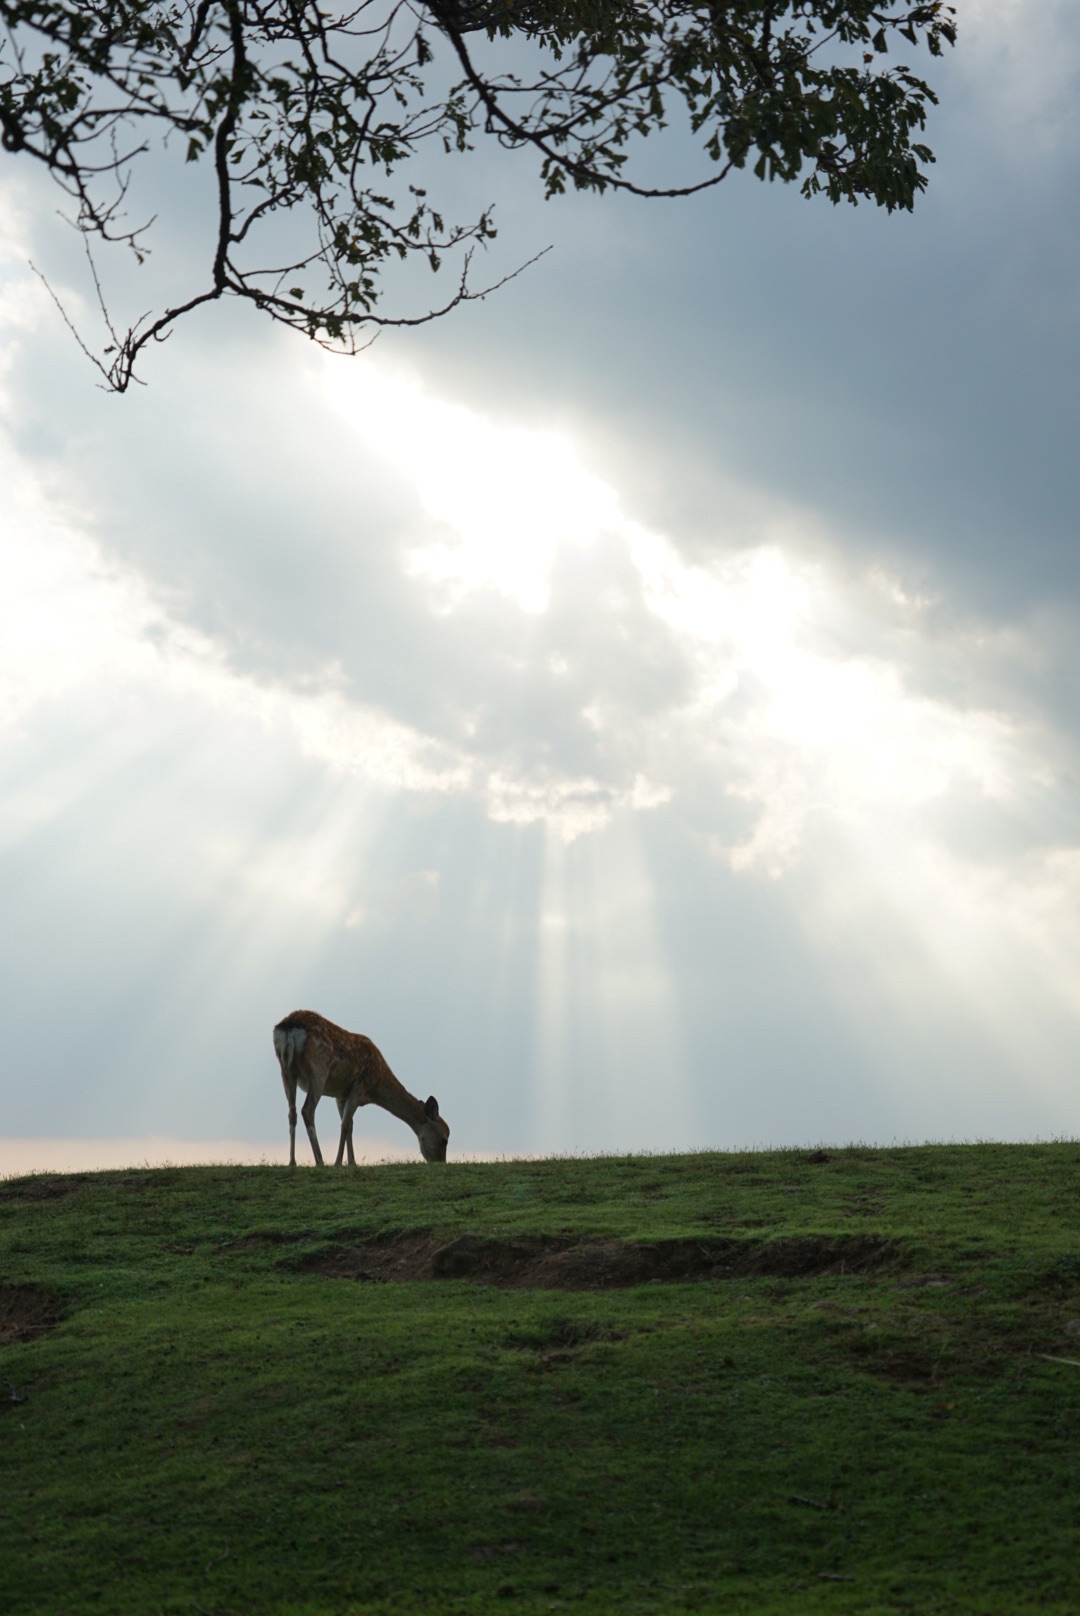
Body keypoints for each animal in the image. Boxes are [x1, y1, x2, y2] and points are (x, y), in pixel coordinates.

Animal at [278, 1001, 452, 1169]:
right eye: (445, 1139)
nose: (440, 1161)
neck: (375, 1088)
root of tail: (288, 1027)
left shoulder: (341, 1094)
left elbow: (350, 1125)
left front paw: (352, 1162)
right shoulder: (360, 1085)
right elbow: (345, 1123)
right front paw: (338, 1162)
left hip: (286, 1070)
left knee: (292, 1111)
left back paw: (292, 1162)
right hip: (319, 1069)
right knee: (307, 1110)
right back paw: (320, 1161)